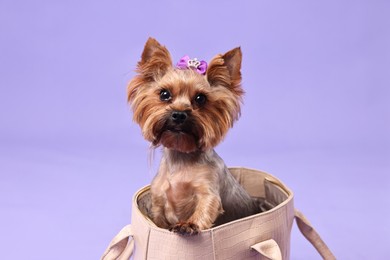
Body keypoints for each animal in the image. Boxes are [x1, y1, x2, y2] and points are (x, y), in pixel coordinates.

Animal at [128, 37, 260, 236]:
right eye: (164, 94)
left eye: (200, 98)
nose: (179, 114)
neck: (182, 156)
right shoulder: (158, 199)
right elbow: (159, 220)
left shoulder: (208, 191)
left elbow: (206, 206)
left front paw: (188, 225)